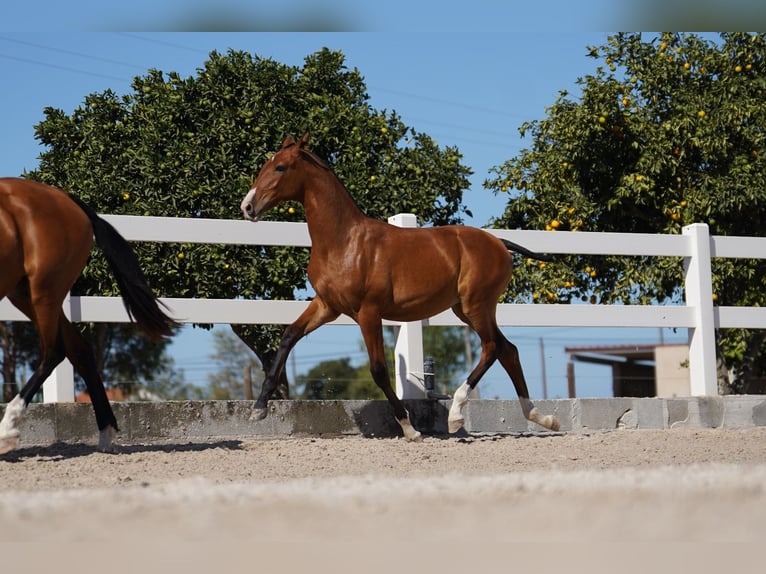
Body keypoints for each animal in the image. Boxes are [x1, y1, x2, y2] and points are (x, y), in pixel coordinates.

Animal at [0, 180, 176, 454]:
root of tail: (68, 200)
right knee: (79, 350)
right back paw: (105, 434)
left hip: (43, 291)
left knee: (54, 352)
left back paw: (6, 430)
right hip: (26, 293)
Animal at [243, 134, 560, 440]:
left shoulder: (368, 312)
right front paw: (258, 409)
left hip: (476, 305)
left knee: (492, 348)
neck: (343, 241)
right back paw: (544, 418)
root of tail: (499, 243)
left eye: (280, 167)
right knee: (508, 350)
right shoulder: (327, 306)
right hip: (466, 309)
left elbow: (379, 370)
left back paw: (456, 414)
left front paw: (410, 429)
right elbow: (288, 336)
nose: (247, 206)